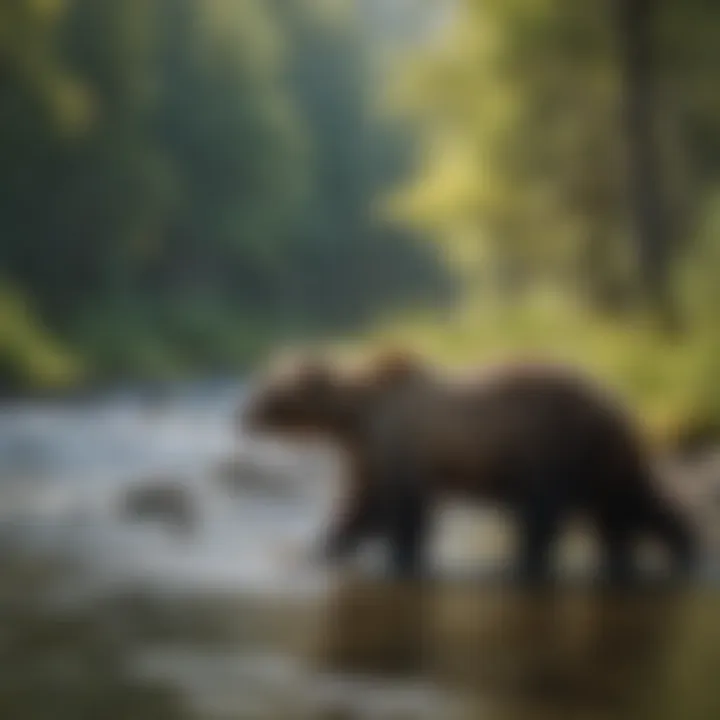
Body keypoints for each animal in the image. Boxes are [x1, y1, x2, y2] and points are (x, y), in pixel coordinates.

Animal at [242, 350, 696, 584]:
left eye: (267, 385)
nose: (242, 415)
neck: (356, 414)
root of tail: (621, 402)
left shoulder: (400, 440)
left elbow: (402, 508)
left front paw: (401, 558)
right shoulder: (366, 452)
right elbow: (359, 506)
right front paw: (322, 547)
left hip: (554, 442)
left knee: (547, 512)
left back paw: (524, 563)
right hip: (599, 458)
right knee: (629, 506)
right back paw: (667, 551)